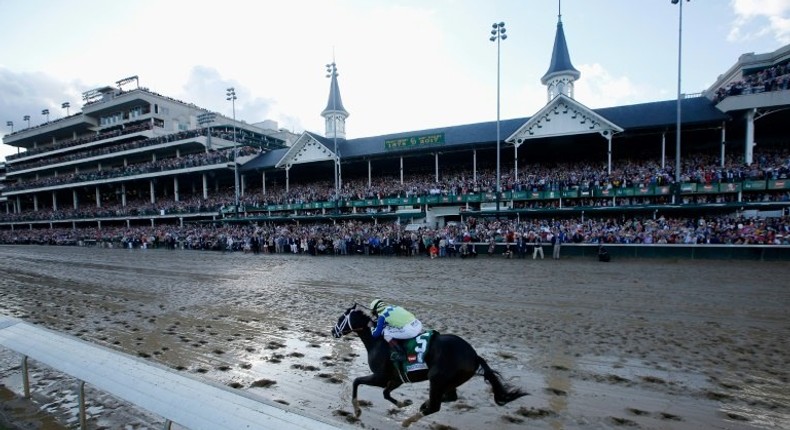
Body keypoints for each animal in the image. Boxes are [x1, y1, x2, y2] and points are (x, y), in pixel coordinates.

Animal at [332, 302, 528, 426]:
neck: (376, 341)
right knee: (449, 398)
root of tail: (474, 355)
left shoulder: (380, 377)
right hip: (450, 381)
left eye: (341, 318)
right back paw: (422, 405)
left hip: (437, 379)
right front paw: (403, 403)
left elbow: (357, 381)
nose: (333, 331)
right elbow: (386, 394)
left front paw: (357, 410)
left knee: (436, 406)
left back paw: (408, 421)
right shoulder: (397, 378)